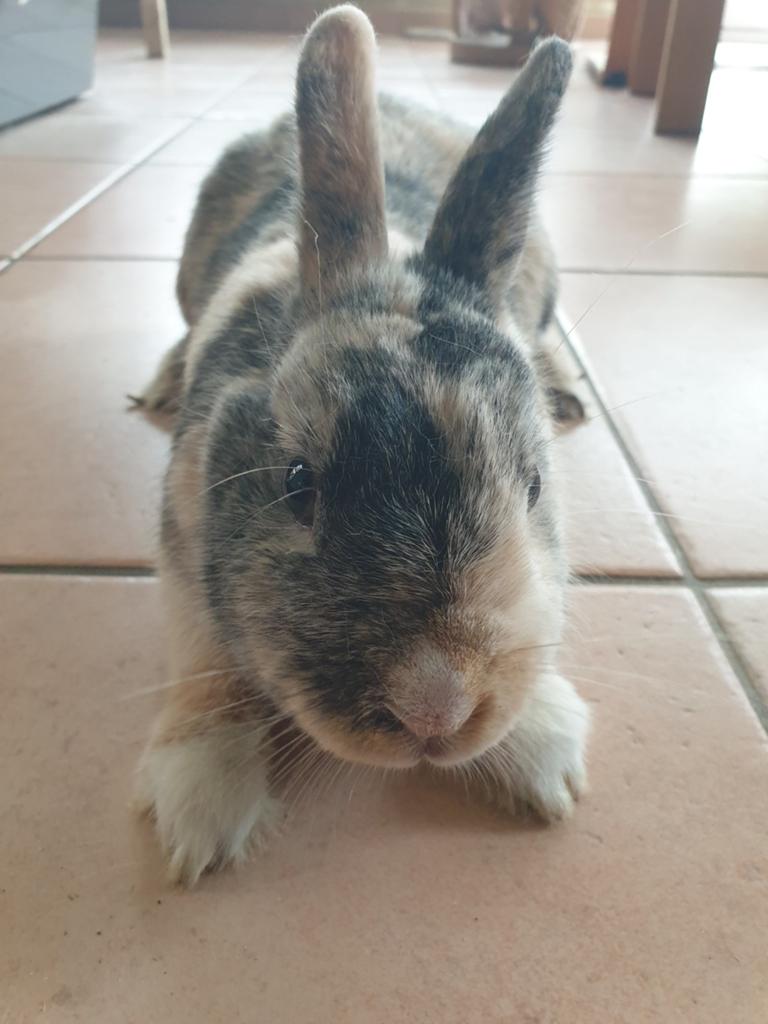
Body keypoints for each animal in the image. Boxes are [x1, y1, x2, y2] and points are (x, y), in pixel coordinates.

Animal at [134, 4, 590, 886]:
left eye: (534, 488)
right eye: (297, 483)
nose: (436, 708)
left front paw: (539, 756)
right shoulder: (180, 546)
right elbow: (205, 665)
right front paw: (200, 809)